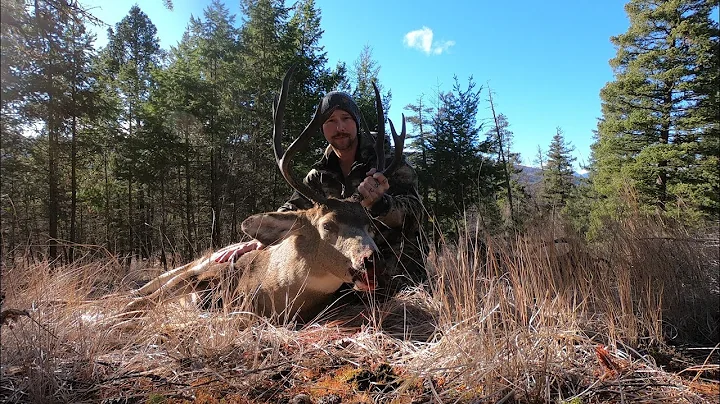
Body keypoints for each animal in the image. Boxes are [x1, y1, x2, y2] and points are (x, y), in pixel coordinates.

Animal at [120, 67, 406, 322]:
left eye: (370, 226)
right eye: (327, 225)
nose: (372, 260)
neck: (269, 285)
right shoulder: (207, 273)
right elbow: (139, 304)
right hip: (188, 265)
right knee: (139, 291)